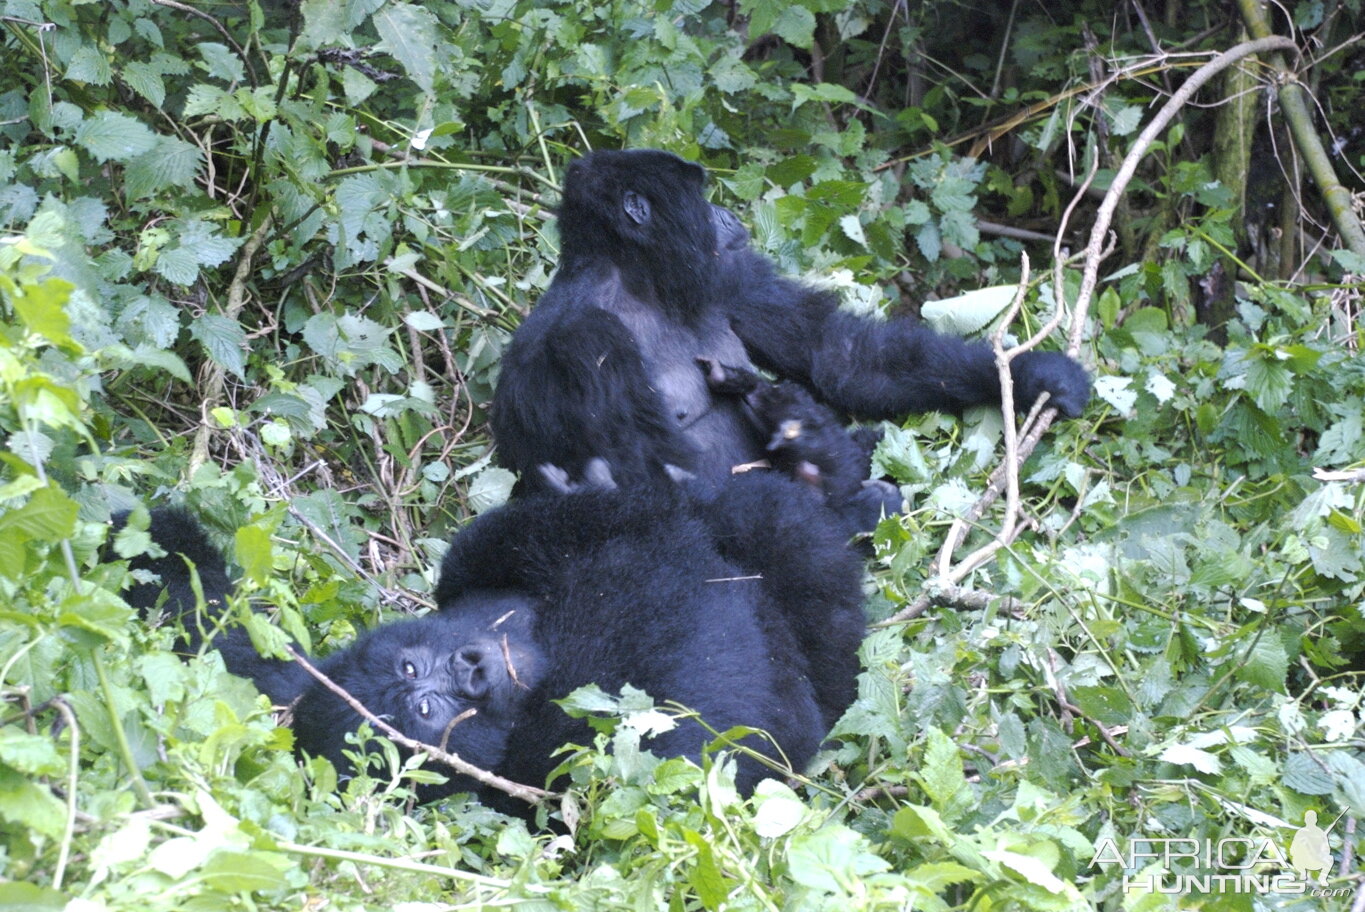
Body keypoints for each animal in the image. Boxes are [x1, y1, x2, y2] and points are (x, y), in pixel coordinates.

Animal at [491, 149, 1086, 516]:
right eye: (699, 194)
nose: (726, 214)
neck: (636, 281)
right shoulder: (586, 337)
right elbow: (655, 481)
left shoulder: (727, 275)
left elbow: (837, 353)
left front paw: (1034, 374)